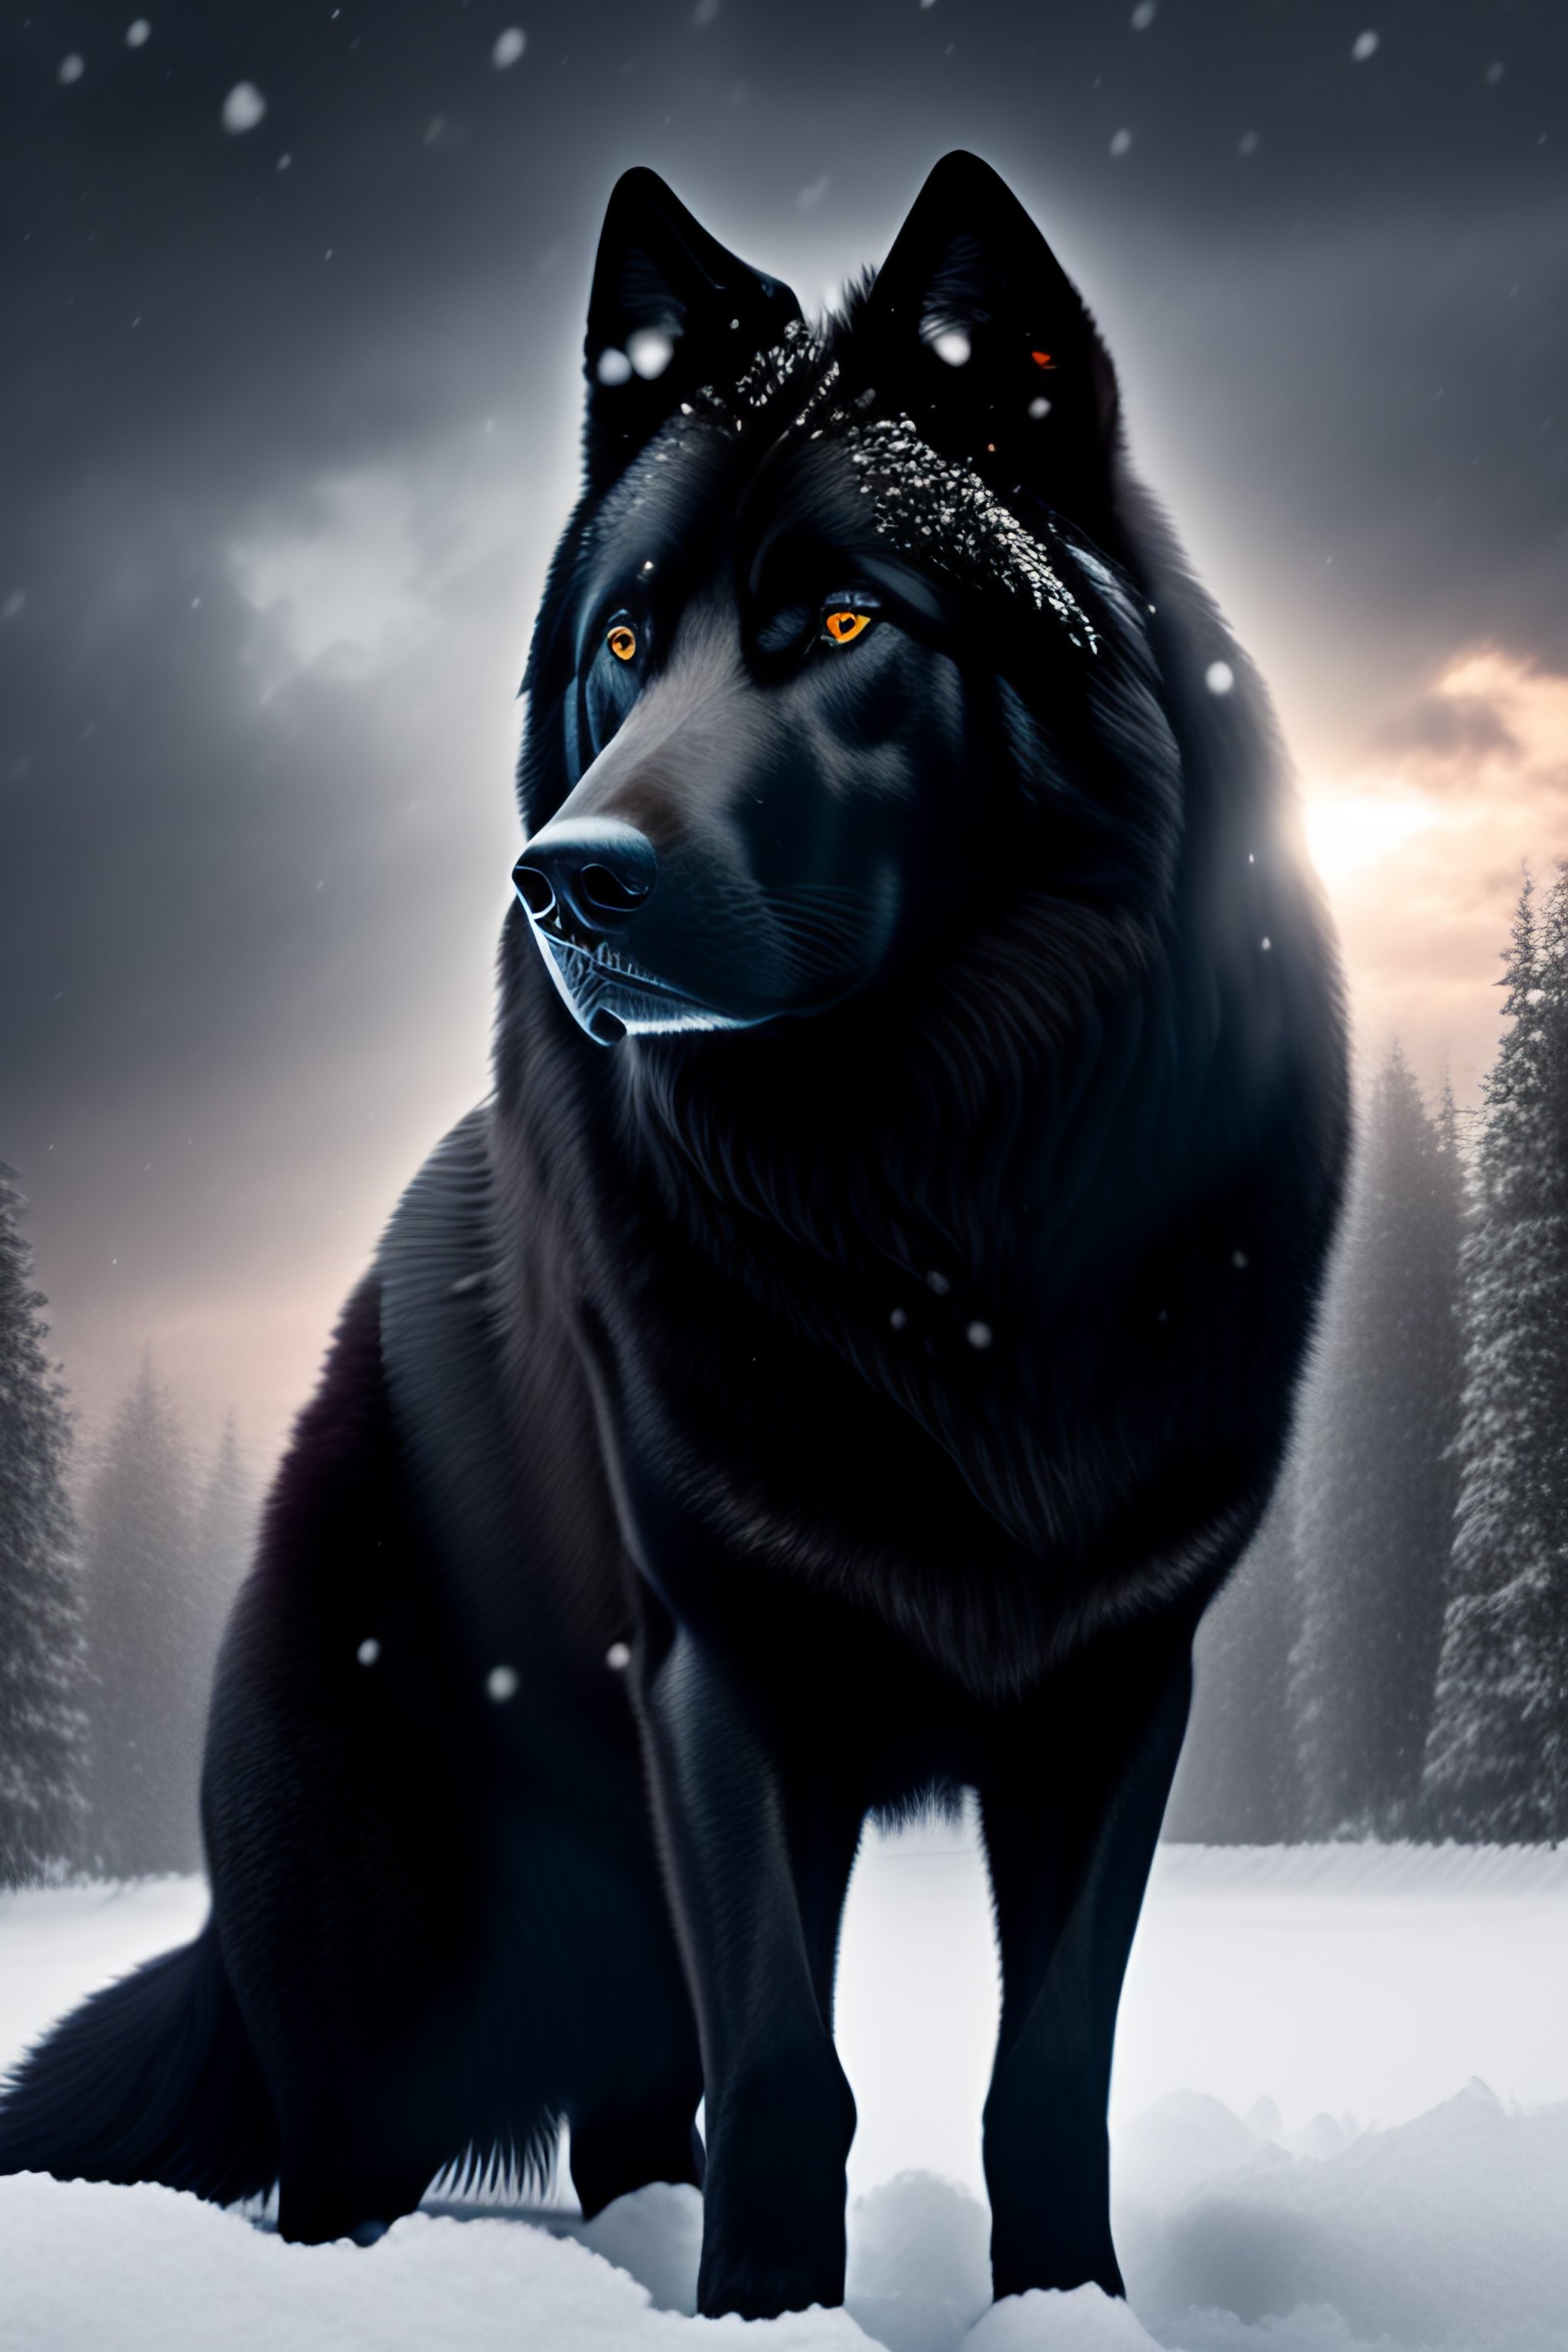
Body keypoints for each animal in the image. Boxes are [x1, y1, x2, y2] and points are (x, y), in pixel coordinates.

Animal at [0, 154, 1347, 2320]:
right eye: (626, 638)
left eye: (844, 618)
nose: (566, 880)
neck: (936, 1211)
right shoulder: (724, 1670)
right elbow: (791, 2068)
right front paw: (774, 2320)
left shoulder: (1117, 1691)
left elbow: (1043, 2068)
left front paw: (1062, 2311)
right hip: (393, 1958)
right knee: (363, 2151)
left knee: (638, 2109)